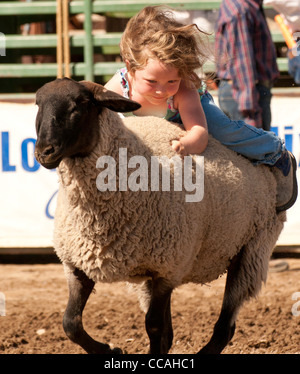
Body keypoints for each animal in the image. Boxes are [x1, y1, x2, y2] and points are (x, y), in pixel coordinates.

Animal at [34, 78, 284, 354]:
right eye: (38, 104)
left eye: (81, 104)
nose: (44, 152)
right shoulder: (77, 264)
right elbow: (71, 323)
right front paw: (110, 350)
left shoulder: (168, 268)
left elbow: (153, 326)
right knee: (172, 332)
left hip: (251, 250)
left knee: (224, 327)